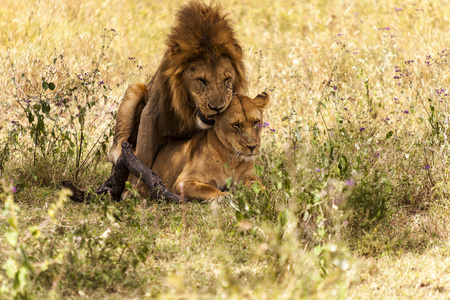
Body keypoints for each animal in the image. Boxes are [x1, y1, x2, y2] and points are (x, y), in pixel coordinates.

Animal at [108, 2, 248, 195]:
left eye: (227, 80)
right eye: (201, 80)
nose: (218, 108)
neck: (189, 107)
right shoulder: (151, 112)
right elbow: (144, 155)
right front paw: (134, 191)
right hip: (135, 88)